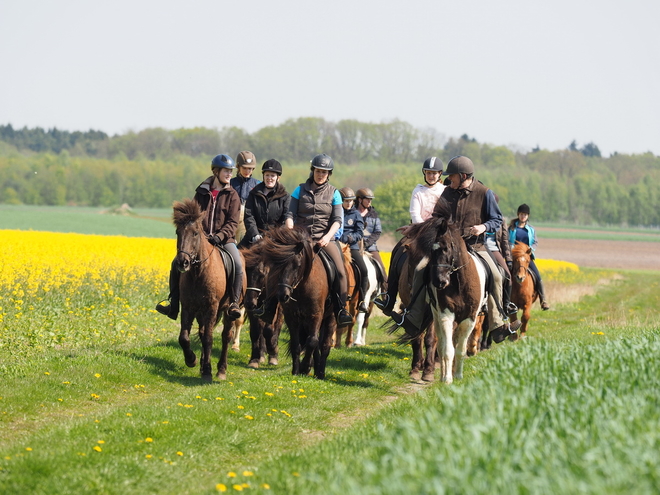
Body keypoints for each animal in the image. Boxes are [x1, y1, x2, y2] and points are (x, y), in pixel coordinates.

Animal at [173, 200, 248, 382]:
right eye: (178, 232)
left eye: (195, 233)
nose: (182, 263)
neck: (198, 272)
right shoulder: (188, 306)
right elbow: (184, 337)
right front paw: (191, 360)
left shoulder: (212, 307)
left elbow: (208, 338)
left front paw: (207, 371)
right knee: (201, 332)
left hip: (228, 310)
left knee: (225, 336)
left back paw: (221, 369)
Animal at [253, 226, 336, 380]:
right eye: (276, 266)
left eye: (297, 265)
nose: (283, 295)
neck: (302, 286)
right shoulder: (292, 317)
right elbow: (296, 345)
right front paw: (297, 370)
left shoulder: (316, 315)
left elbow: (312, 342)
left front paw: (305, 367)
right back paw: (315, 369)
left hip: (330, 317)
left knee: (325, 345)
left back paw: (320, 373)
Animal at [404, 200, 488, 386]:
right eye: (431, 250)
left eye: (447, 247)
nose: (439, 282)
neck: (460, 283)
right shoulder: (445, 315)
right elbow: (447, 349)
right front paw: (448, 378)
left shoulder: (470, 318)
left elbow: (460, 349)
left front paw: (458, 376)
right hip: (436, 317)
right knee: (441, 345)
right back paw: (441, 374)